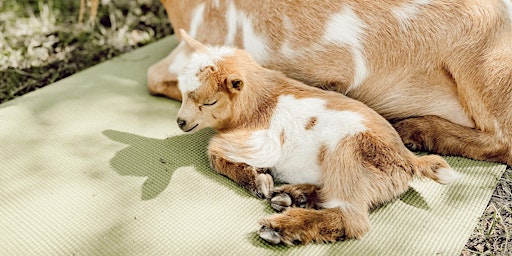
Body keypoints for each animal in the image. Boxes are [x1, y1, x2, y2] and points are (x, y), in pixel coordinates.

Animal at [175, 30, 460, 246]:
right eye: (182, 91)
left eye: (209, 102)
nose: (180, 122)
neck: (259, 100)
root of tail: (409, 160)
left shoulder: (260, 141)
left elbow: (213, 150)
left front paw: (258, 181)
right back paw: (293, 196)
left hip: (348, 154)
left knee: (352, 219)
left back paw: (280, 226)